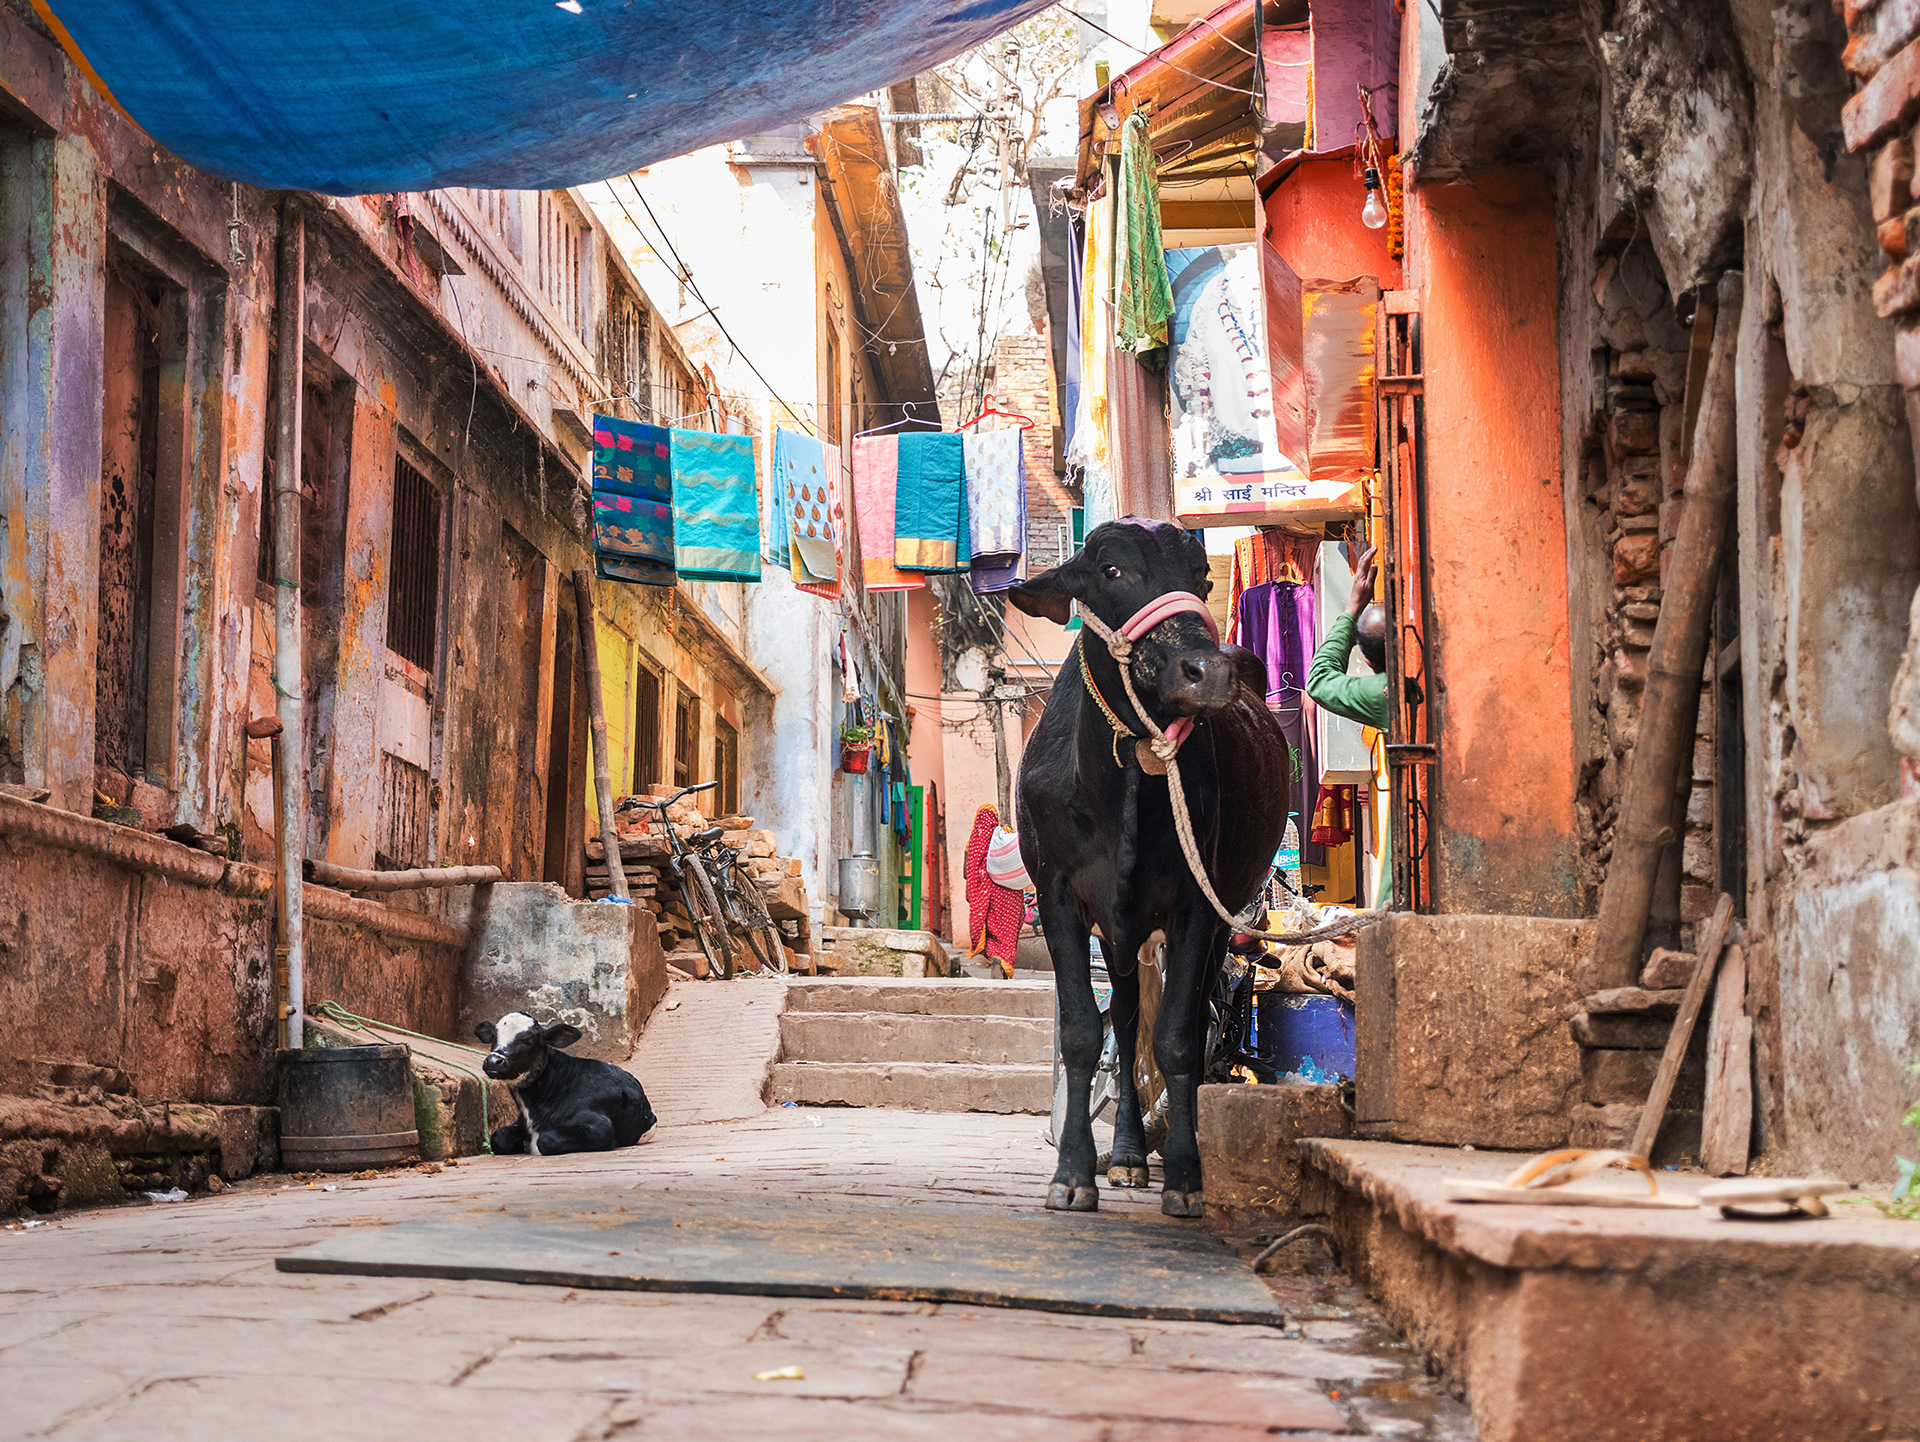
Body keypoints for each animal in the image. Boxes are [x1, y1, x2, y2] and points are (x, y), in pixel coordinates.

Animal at [474, 1012, 657, 1156]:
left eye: (527, 1040)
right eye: (493, 1036)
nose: (494, 1061)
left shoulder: (600, 1126)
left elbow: (546, 1140)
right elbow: (498, 1137)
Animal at [1010, 519, 1290, 1216]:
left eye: (1203, 575)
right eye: (1110, 570)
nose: (1208, 672)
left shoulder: (1196, 906)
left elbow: (1178, 1039)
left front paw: (1187, 1177)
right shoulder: (1058, 898)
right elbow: (1084, 1033)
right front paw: (1073, 1172)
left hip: (1214, 921)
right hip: (1118, 933)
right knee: (1126, 1016)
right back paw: (1130, 1156)